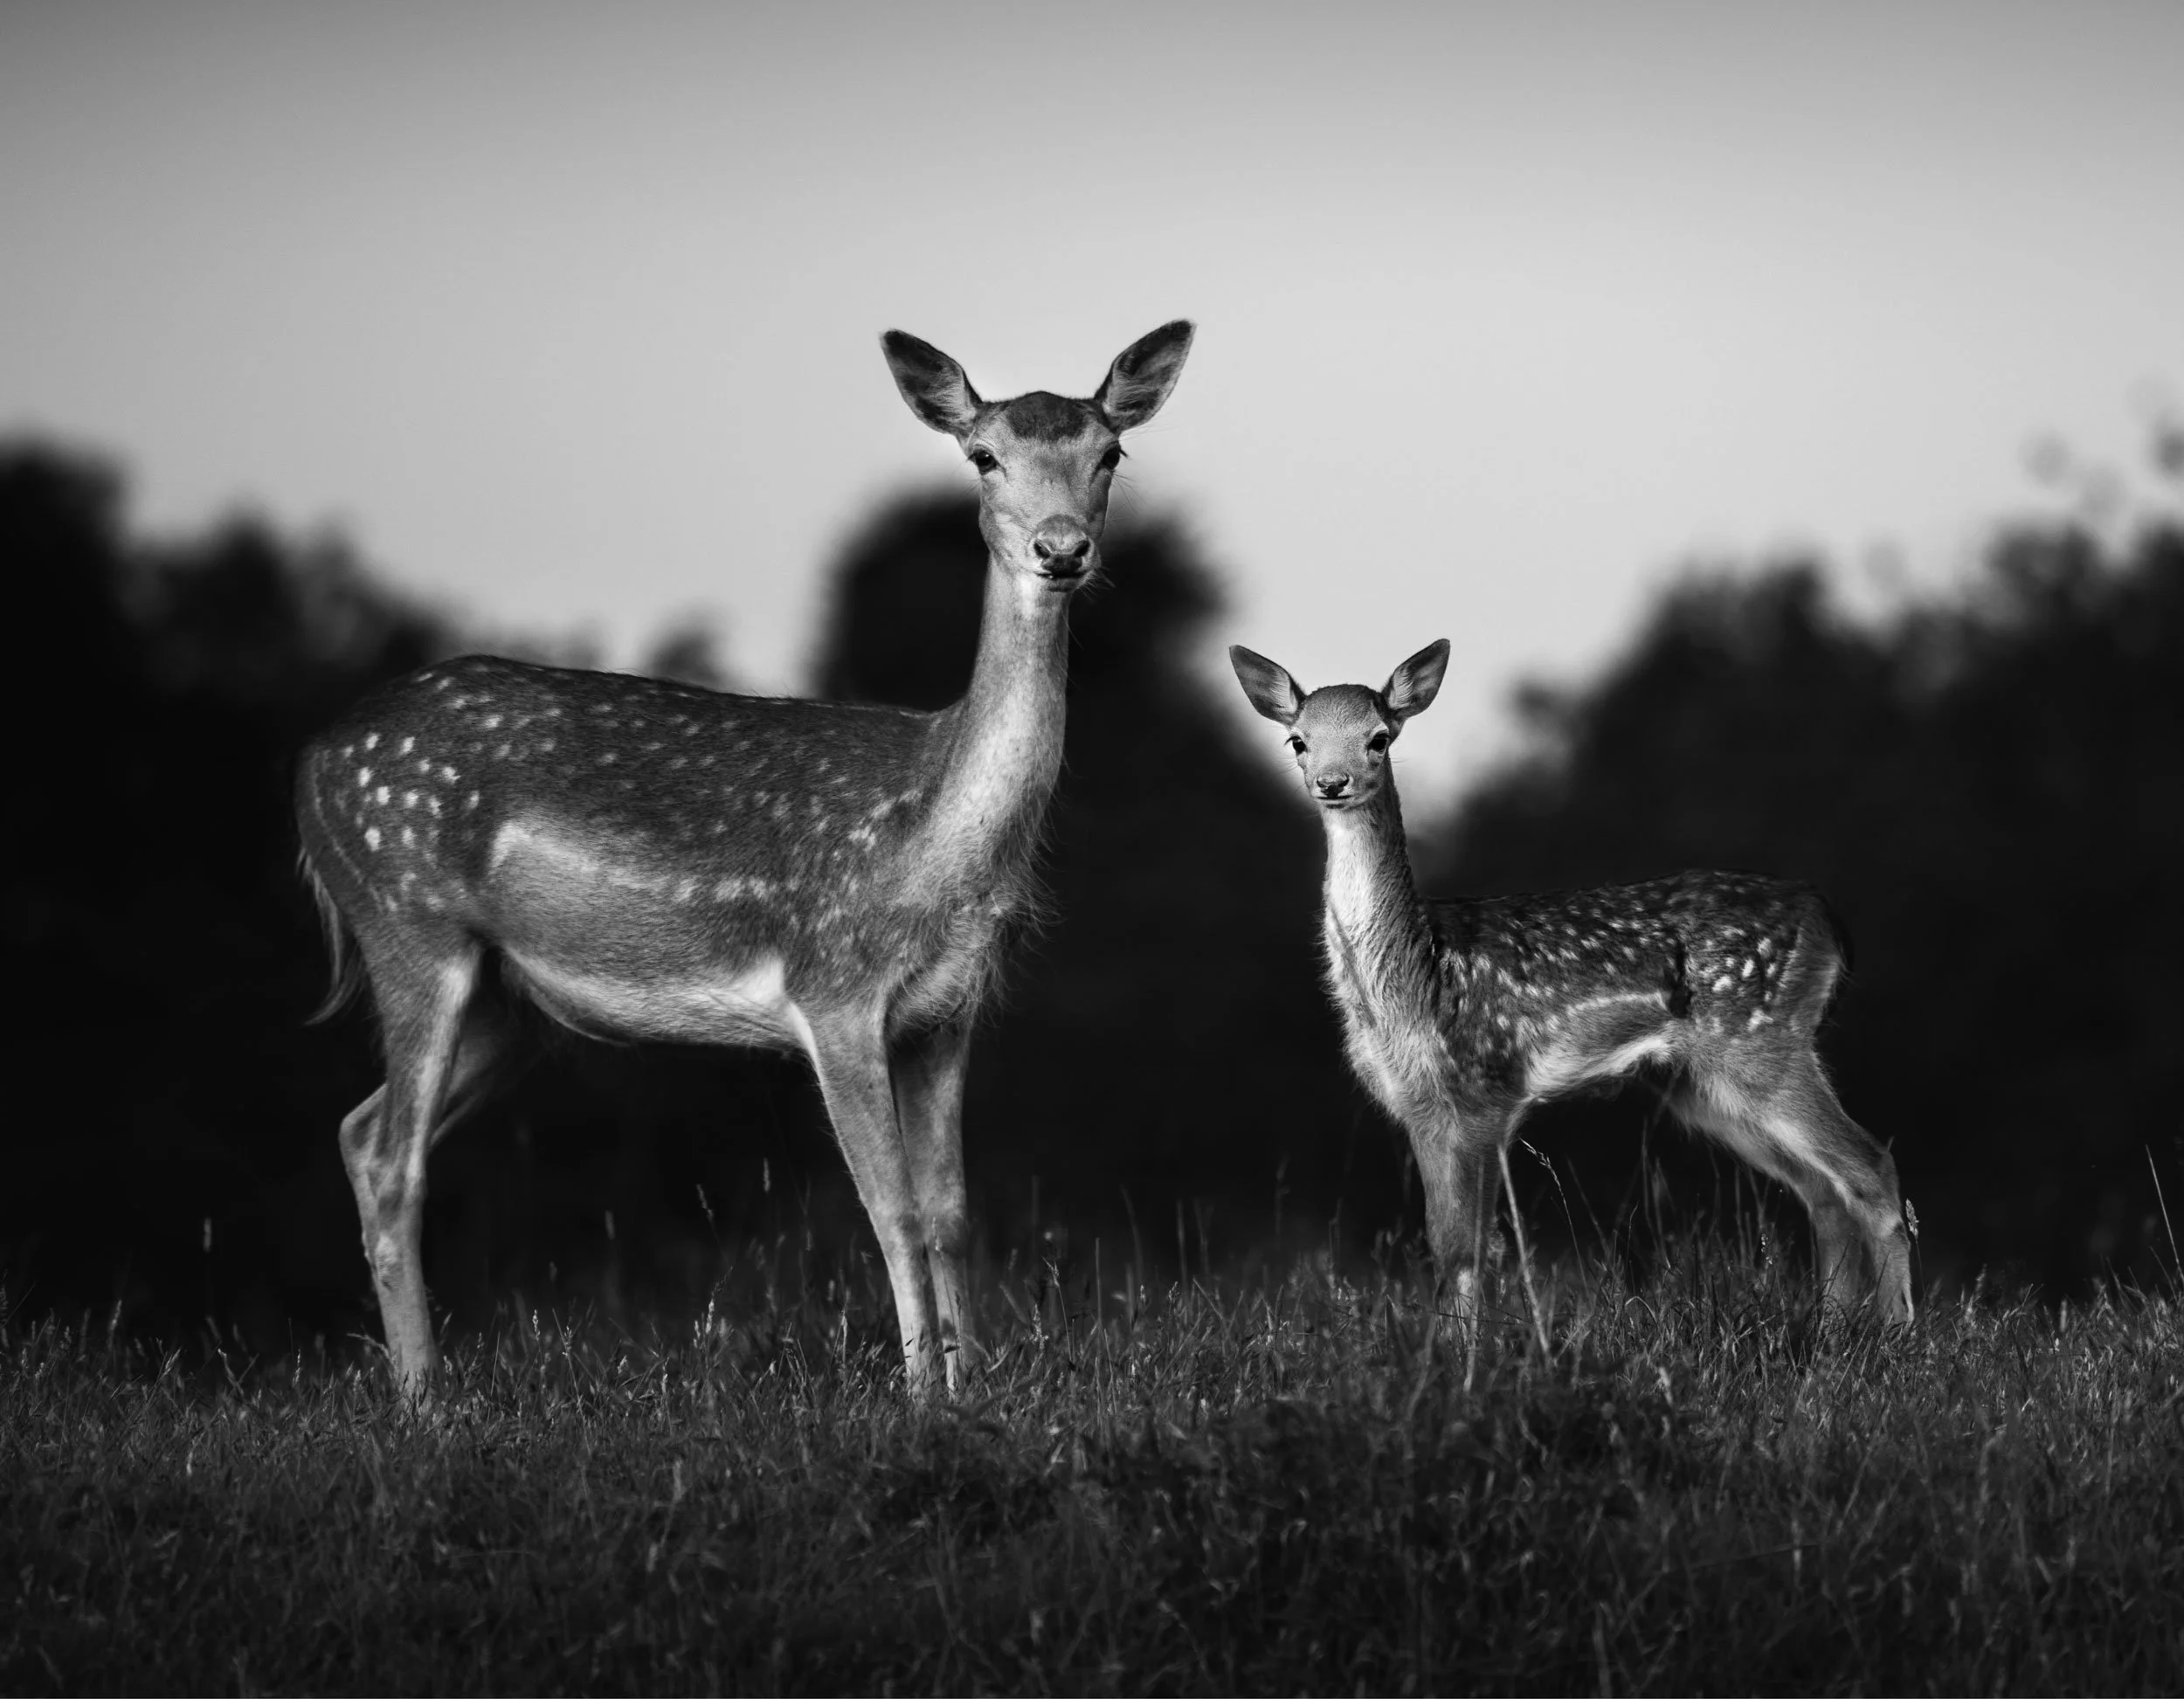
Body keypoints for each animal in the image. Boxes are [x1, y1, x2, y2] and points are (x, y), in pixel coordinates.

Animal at [295, 320, 1195, 1401]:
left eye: (1110, 454)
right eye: (983, 456)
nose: (1061, 548)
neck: (930, 843)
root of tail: (309, 771)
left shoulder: (946, 1012)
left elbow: (949, 1209)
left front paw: (972, 1386)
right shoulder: (833, 985)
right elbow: (890, 1208)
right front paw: (920, 1401)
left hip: (511, 1003)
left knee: (359, 1131)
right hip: (406, 918)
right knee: (395, 1160)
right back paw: (427, 1404)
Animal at [1229, 638, 1915, 1332]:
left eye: (1378, 738)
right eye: (1297, 740)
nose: (1331, 782)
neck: (1414, 976)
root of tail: (1827, 917)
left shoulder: (1485, 1088)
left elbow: (1472, 1247)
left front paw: (1469, 1347)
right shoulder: (1418, 1106)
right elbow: (1443, 1242)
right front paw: (1449, 1343)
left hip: (1763, 1041)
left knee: (1871, 1167)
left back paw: (1898, 1333)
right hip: (1701, 1084)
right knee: (1821, 1188)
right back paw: (1833, 1328)